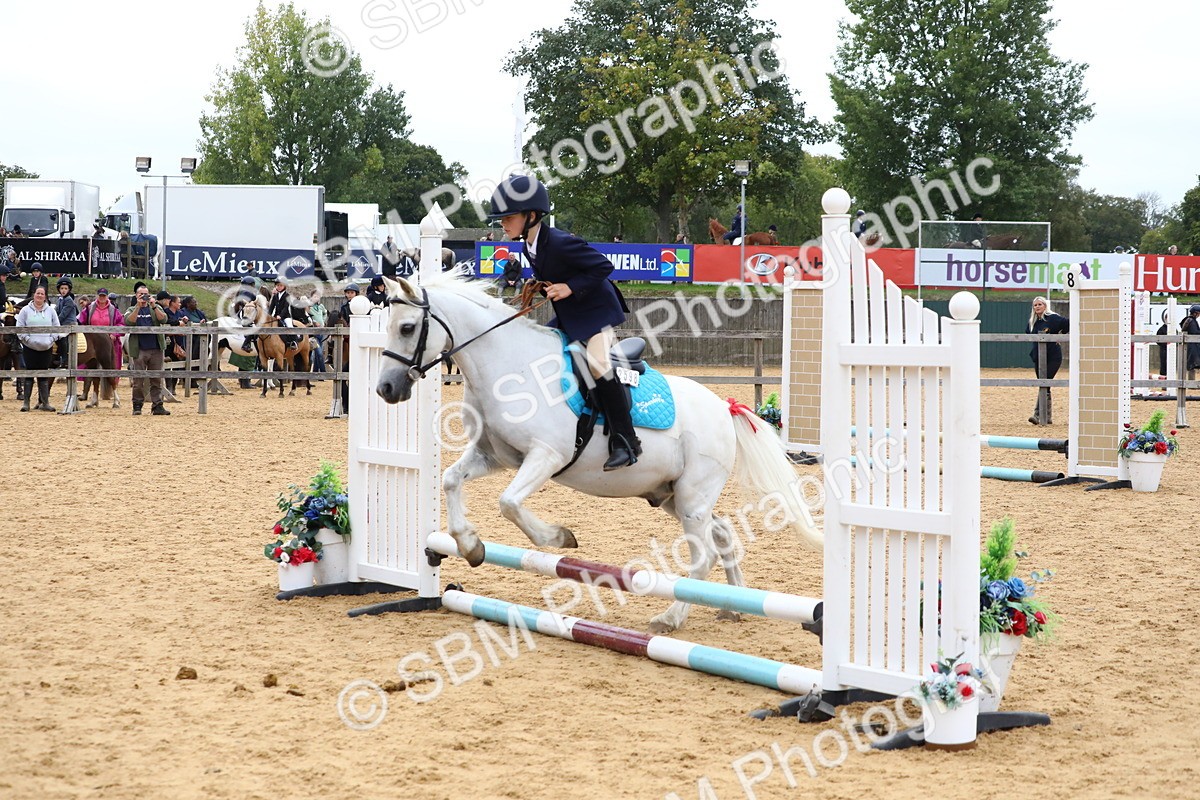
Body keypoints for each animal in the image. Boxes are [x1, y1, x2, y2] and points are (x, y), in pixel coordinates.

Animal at [373, 271, 822, 633]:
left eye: (408, 327)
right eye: (389, 327)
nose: (386, 389)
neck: (508, 367)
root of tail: (724, 408)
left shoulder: (546, 456)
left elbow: (509, 503)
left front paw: (558, 537)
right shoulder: (494, 457)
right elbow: (451, 480)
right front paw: (470, 546)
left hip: (693, 495)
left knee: (703, 554)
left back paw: (671, 617)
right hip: (673, 496)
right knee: (724, 532)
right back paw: (733, 605)